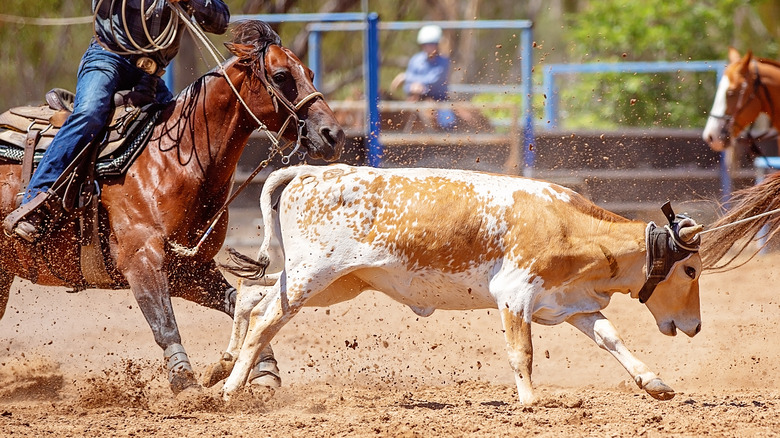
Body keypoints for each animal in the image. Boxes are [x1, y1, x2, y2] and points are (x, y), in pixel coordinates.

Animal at [0, 20, 344, 394]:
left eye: (309, 72)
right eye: (281, 76)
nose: (333, 135)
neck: (174, 161)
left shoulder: (189, 269)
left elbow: (236, 304)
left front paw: (262, 368)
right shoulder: (142, 261)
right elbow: (164, 323)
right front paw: (186, 383)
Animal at [210, 164, 704, 404]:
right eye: (691, 271)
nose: (696, 326)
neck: (566, 226)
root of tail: (311, 172)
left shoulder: (572, 303)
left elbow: (610, 337)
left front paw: (653, 382)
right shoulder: (515, 296)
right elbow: (521, 352)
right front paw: (530, 399)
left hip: (334, 282)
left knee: (254, 298)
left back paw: (226, 365)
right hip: (313, 275)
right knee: (266, 320)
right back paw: (232, 389)